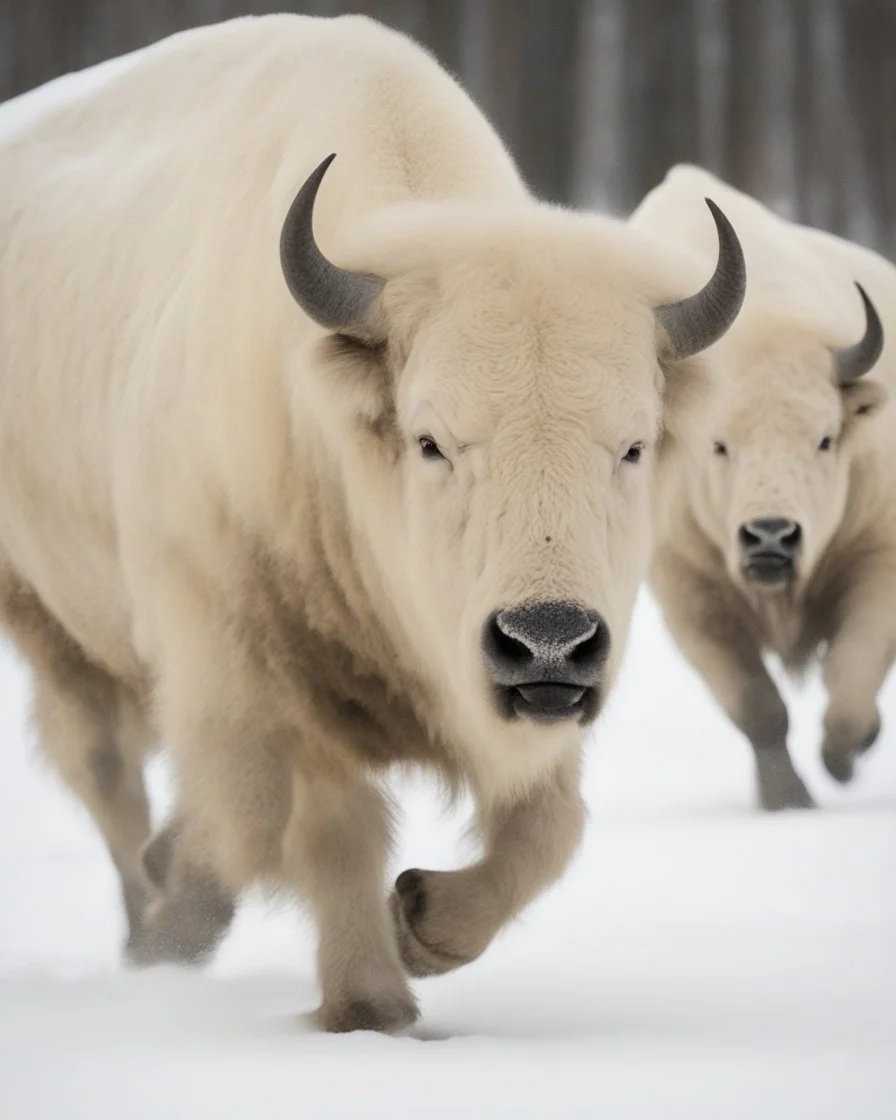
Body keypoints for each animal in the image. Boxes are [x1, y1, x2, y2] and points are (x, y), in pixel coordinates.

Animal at [0, 19, 743, 1030]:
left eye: (633, 445)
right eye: (431, 441)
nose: (546, 639)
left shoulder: (530, 711)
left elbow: (546, 826)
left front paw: (420, 925)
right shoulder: (242, 657)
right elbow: (293, 820)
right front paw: (363, 1002)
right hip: (55, 627)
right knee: (109, 776)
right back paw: (153, 928)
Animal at [631, 165, 891, 810]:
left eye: (825, 438)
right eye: (718, 443)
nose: (771, 537)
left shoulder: (879, 561)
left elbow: (851, 681)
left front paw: (843, 758)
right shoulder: (690, 595)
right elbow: (758, 705)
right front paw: (786, 799)